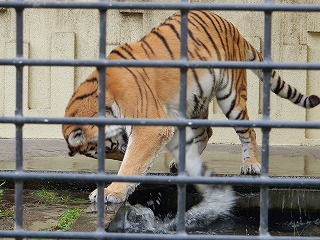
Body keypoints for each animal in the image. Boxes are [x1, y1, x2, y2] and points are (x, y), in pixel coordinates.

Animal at [61, 10, 318, 211]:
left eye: (107, 148)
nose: (119, 153)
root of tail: (234, 27)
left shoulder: (149, 126)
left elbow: (133, 162)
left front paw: (109, 192)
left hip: (231, 95)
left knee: (248, 131)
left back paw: (251, 164)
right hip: (193, 99)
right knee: (206, 132)